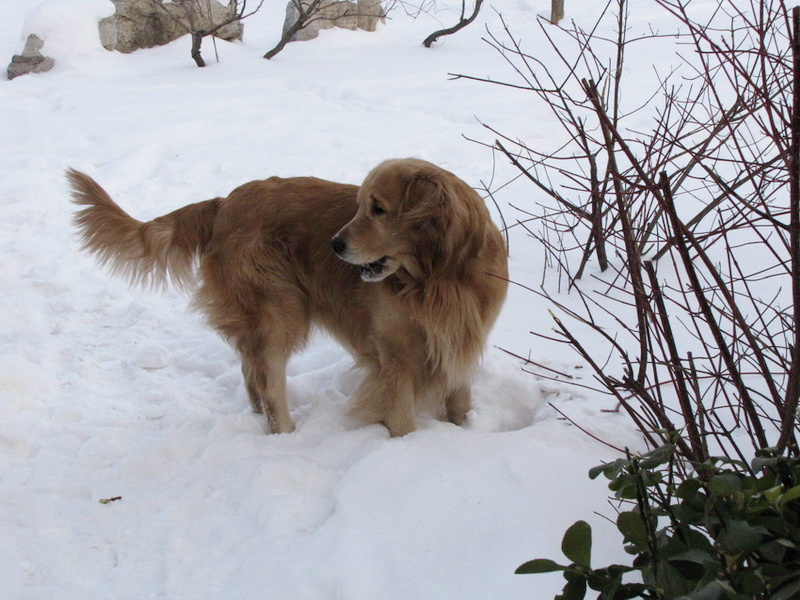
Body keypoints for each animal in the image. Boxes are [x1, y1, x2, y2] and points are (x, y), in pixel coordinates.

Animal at [67, 157, 506, 434]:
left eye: (378, 208)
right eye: (359, 206)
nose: (333, 244)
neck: (441, 277)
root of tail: (224, 203)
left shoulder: (461, 340)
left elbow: (459, 401)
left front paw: (462, 430)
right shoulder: (394, 357)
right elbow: (402, 418)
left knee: (250, 369)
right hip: (279, 309)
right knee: (267, 379)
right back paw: (286, 433)